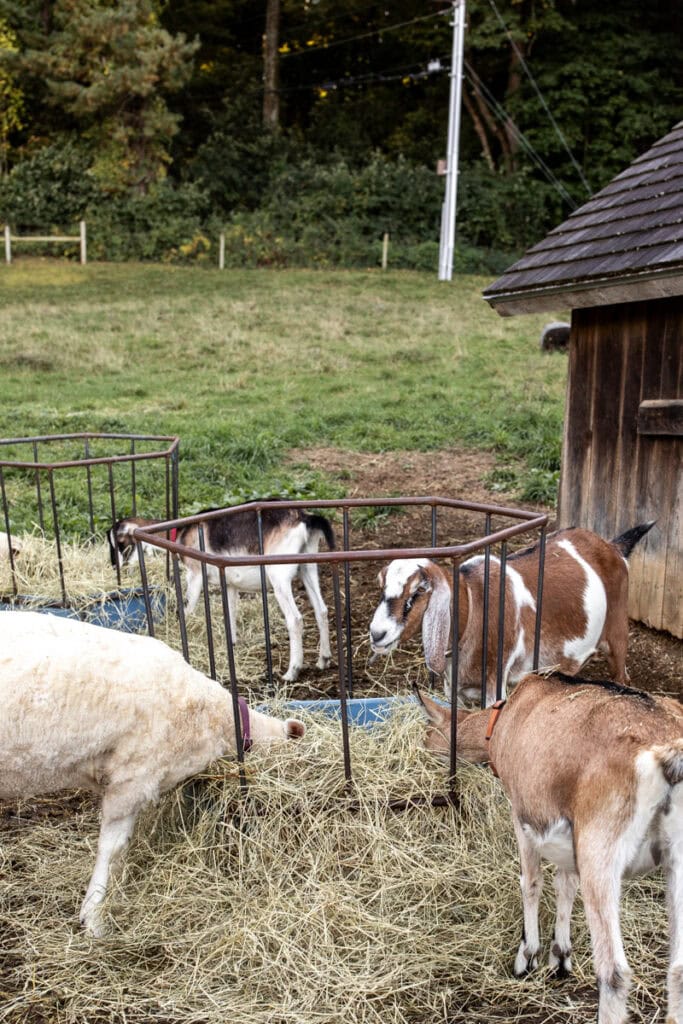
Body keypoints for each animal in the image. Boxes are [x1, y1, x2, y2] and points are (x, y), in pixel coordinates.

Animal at [109, 506, 336, 682]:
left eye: (119, 543)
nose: (114, 566)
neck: (181, 532)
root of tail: (305, 519)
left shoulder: (195, 576)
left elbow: (186, 610)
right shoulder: (229, 584)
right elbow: (230, 613)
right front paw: (232, 643)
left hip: (278, 576)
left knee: (295, 619)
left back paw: (292, 671)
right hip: (307, 568)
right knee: (321, 610)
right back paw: (323, 659)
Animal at [369, 523, 654, 706]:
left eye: (418, 592)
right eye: (382, 588)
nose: (377, 633)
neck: (474, 605)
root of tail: (612, 546)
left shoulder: (494, 684)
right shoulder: (455, 689)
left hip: (618, 631)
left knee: (622, 674)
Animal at [416, 674, 683, 1024]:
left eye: (428, 732)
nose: (421, 749)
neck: (502, 722)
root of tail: (669, 756)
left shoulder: (521, 813)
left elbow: (531, 882)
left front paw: (527, 957)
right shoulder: (569, 834)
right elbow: (564, 884)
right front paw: (560, 958)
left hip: (601, 850)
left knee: (614, 972)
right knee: (678, 970)